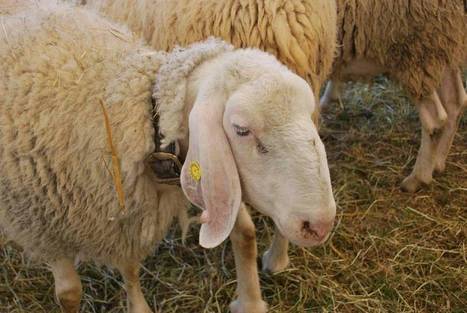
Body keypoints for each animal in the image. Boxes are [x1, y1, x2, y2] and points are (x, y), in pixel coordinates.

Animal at [0, 2, 336, 312]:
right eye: (241, 129)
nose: (319, 225)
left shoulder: (126, 218)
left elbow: (130, 267)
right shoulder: (42, 226)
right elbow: (70, 294)